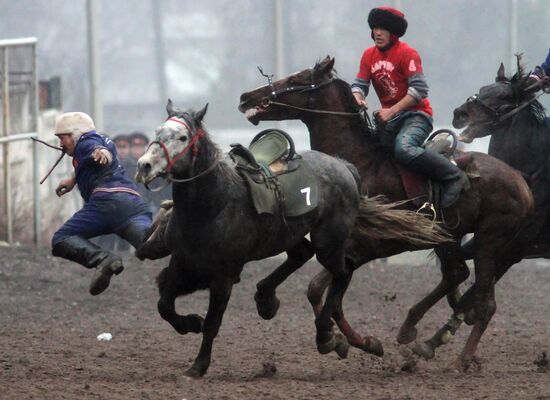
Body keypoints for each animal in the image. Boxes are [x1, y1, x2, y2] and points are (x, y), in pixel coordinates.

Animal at [239, 56, 536, 372]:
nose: (247, 97)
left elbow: (326, 293)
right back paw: (417, 334)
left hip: (488, 241)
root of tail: (520, 180)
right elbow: (318, 291)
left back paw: (460, 358)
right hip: (450, 237)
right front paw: (349, 341)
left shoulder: (366, 247)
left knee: (484, 302)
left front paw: (337, 339)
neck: (361, 163)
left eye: (298, 79)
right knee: (458, 276)